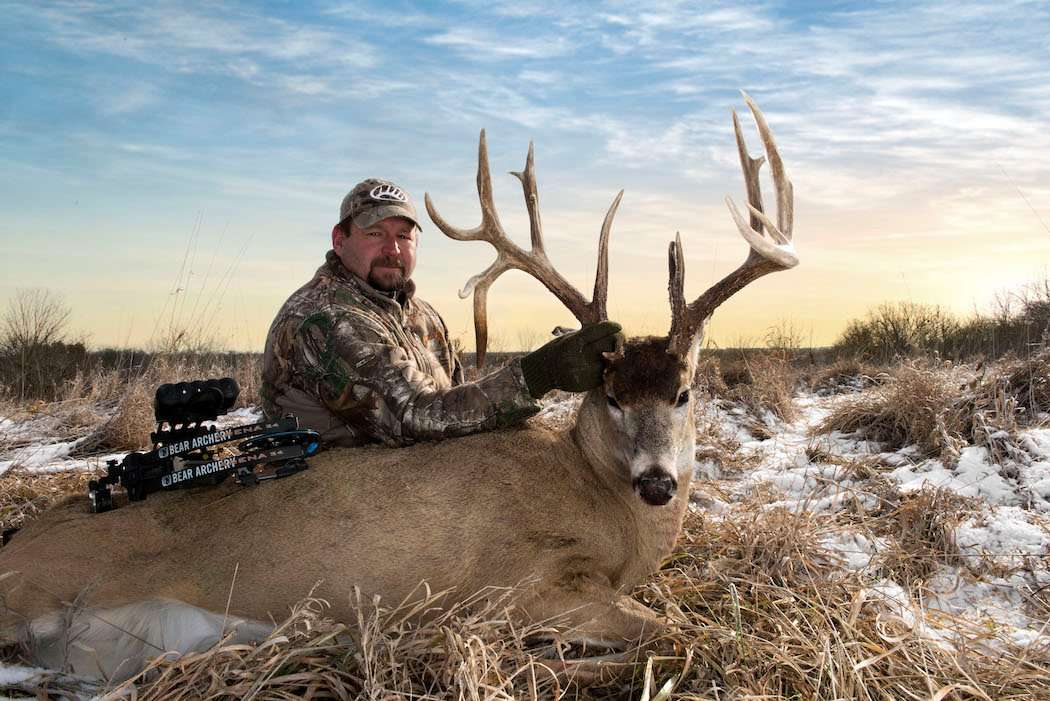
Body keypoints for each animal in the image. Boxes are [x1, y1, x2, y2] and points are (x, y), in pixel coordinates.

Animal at [0, 93, 796, 683]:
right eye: (611, 394)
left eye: (684, 392)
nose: (658, 482)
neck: (604, 505)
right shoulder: (525, 586)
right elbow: (674, 630)